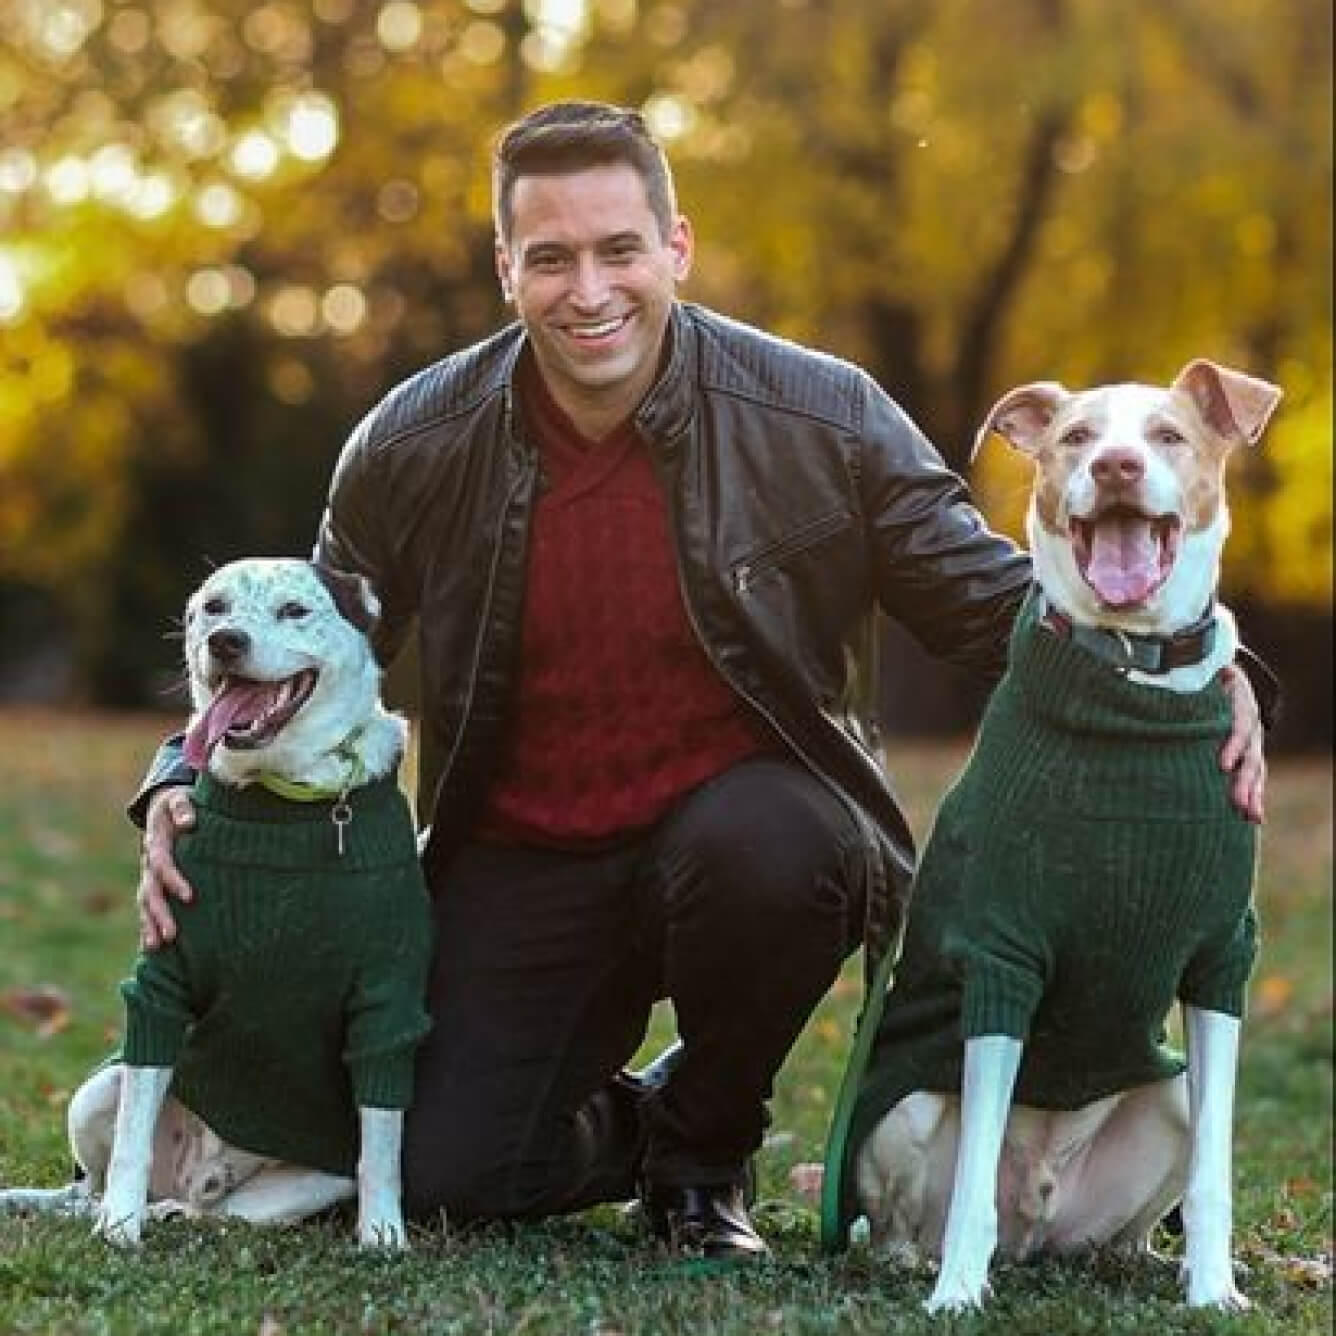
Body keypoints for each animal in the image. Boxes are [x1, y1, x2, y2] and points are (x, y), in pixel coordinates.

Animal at [0, 558, 432, 1248]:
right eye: (213, 606)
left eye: (294, 610)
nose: (226, 641)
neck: (284, 793)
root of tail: (195, 1174)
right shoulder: (159, 990)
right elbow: (131, 1141)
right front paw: (119, 1230)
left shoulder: (386, 1003)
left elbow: (382, 1148)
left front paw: (383, 1235)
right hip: (96, 1090)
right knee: (88, 1185)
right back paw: (90, 1208)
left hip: (306, 1183)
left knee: (225, 1212)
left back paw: (173, 1212)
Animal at [823, 359, 1281, 1312]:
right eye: (1076, 437)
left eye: (1168, 436)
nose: (1114, 466)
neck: (1130, 672)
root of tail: (1038, 1215)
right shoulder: (1002, 957)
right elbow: (971, 1171)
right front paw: (956, 1294)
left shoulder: (1222, 961)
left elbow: (1214, 1171)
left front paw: (1215, 1287)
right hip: (901, 1112)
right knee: (906, 1215)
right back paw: (915, 1261)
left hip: (1168, 1091)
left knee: (1137, 1212)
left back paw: (1154, 1262)